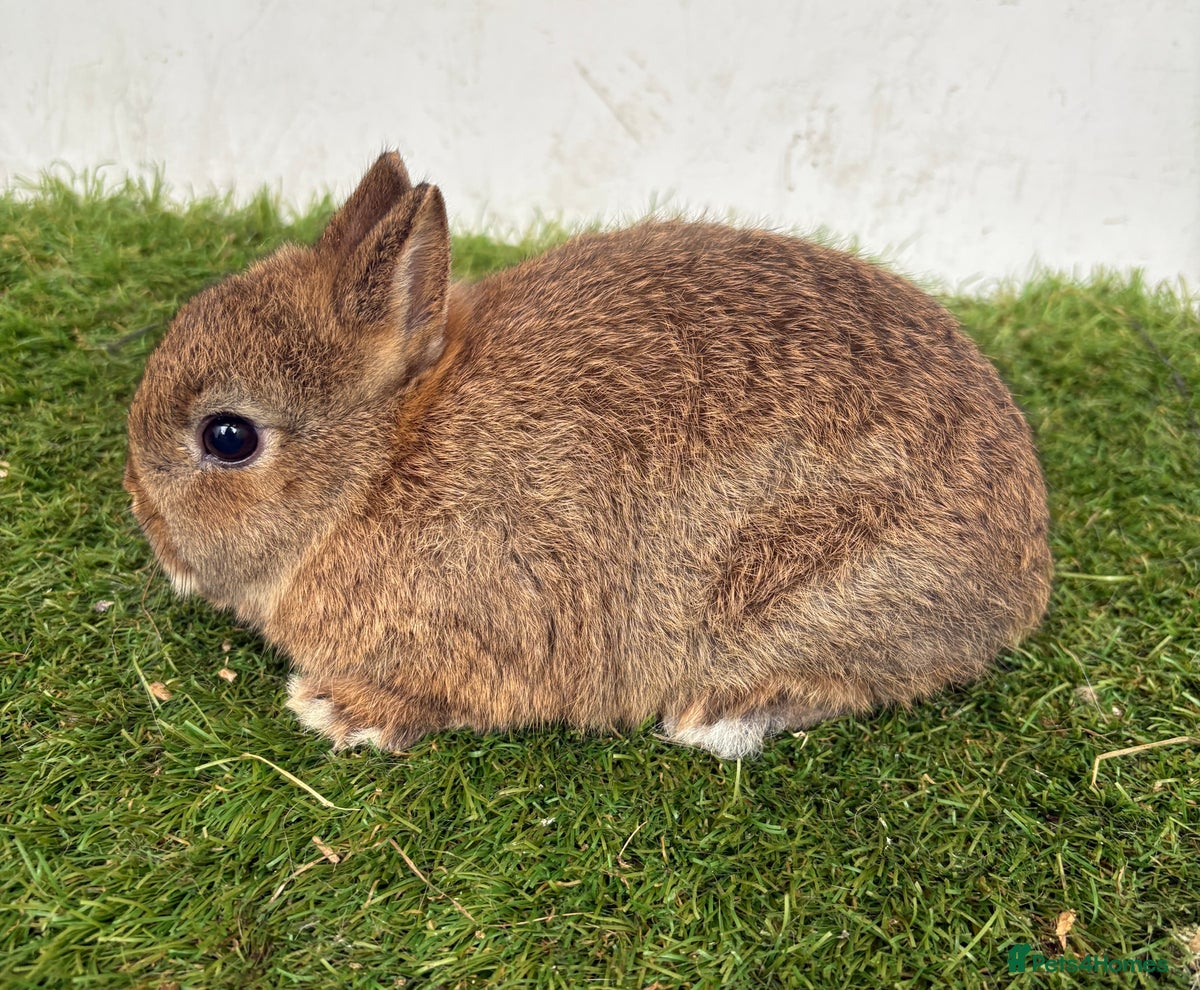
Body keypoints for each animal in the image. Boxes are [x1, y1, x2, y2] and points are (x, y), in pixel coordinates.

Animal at [124, 151, 1052, 760]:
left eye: (229, 437)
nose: (145, 522)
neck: (383, 461)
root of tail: (1025, 569)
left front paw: (336, 707)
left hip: (811, 593)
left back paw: (715, 718)